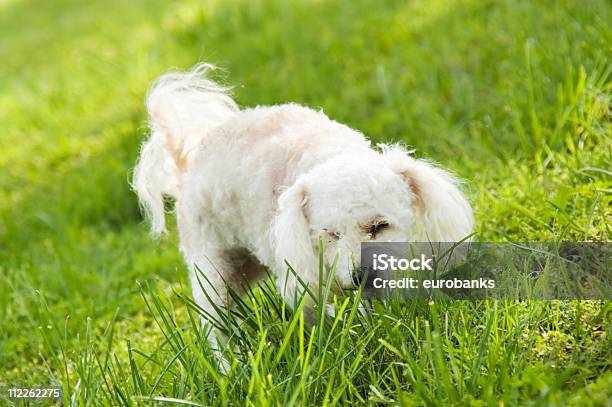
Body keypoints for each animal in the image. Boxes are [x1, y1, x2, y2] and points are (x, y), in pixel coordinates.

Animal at [131, 63, 470, 332]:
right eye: (330, 235)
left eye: (380, 225)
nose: (361, 276)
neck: (330, 154)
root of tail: (187, 162)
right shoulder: (300, 269)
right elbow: (312, 310)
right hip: (211, 268)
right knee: (217, 326)